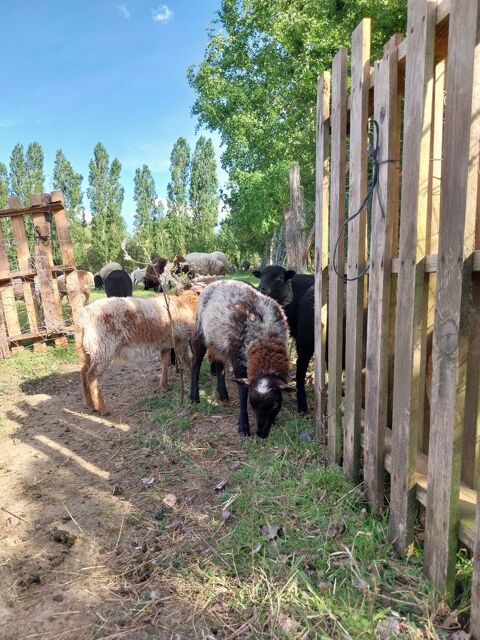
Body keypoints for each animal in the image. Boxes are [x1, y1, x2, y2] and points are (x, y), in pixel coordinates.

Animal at [190, 279, 293, 438]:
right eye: (252, 404)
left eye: (276, 405)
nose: (261, 434)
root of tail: (215, 282)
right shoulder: (238, 359)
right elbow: (243, 393)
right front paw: (243, 426)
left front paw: (274, 421)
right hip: (200, 332)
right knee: (195, 364)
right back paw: (194, 397)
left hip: (219, 341)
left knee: (219, 366)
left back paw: (223, 394)